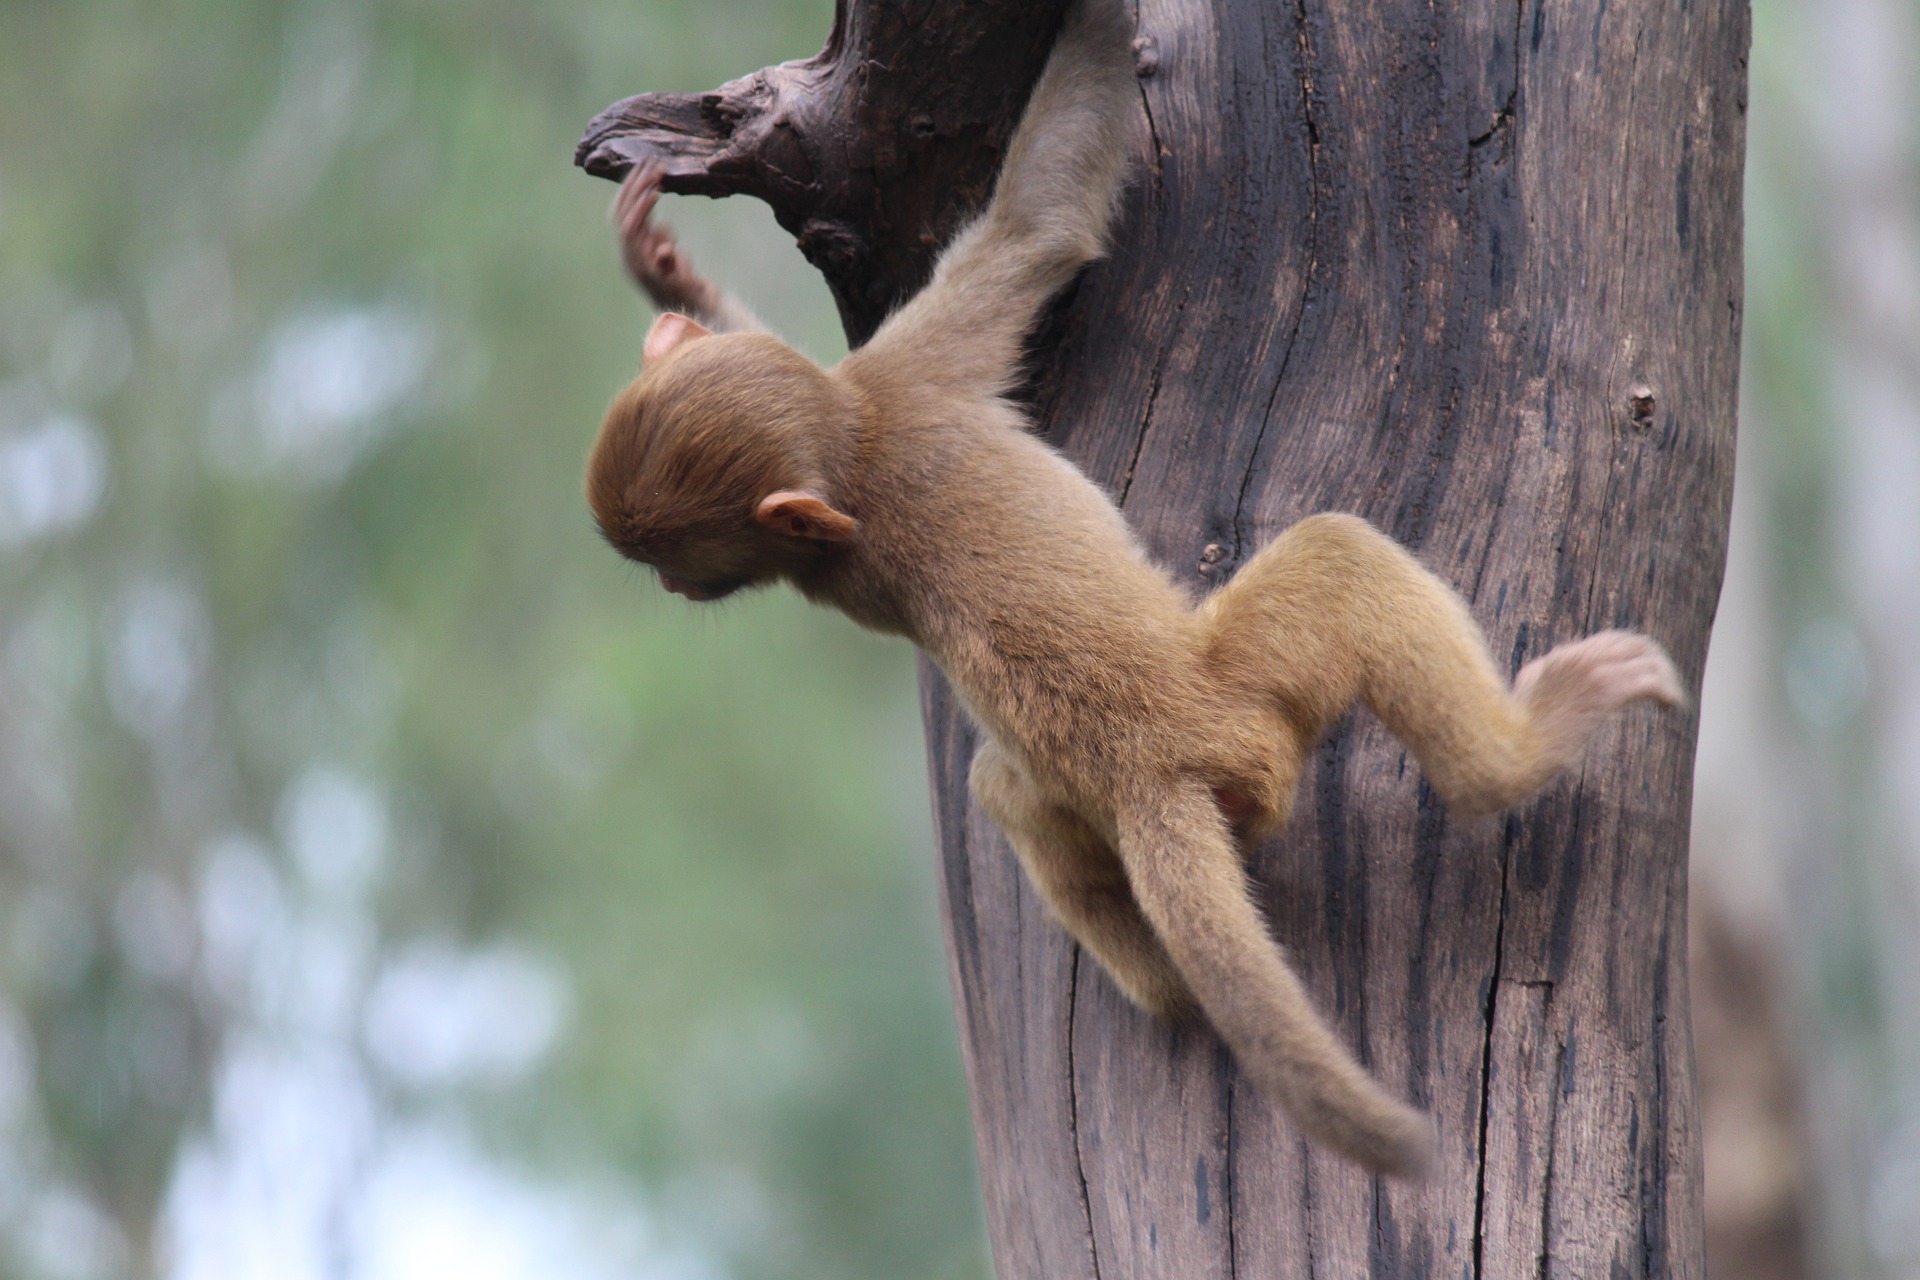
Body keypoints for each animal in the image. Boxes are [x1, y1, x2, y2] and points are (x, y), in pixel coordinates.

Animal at [583, 0, 1681, 1182]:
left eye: (673, 564)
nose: (673, 589)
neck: (853, 449)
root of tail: (1159, 766)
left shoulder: (882, 397)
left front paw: (664, 271)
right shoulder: (915, 379)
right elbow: (1040, 227)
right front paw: (1099, 26)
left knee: (1006, 789)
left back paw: (1167, 983)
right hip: (1256, 698)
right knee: (1337, 557)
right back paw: (1511, 756)